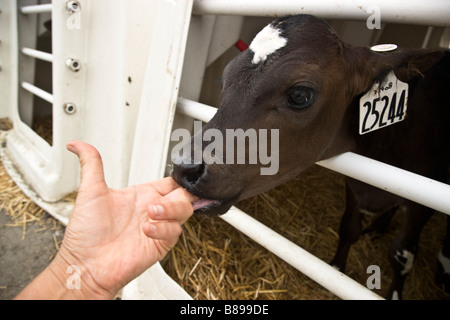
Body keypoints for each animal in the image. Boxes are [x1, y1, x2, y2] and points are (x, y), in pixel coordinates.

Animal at [172, 14, 450, 300]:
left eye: (300, 95)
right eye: (224, 79)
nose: (184, 165)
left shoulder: (422, 206)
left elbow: (401, 255)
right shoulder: (353, 187)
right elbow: (348, 228)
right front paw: (336, 269)